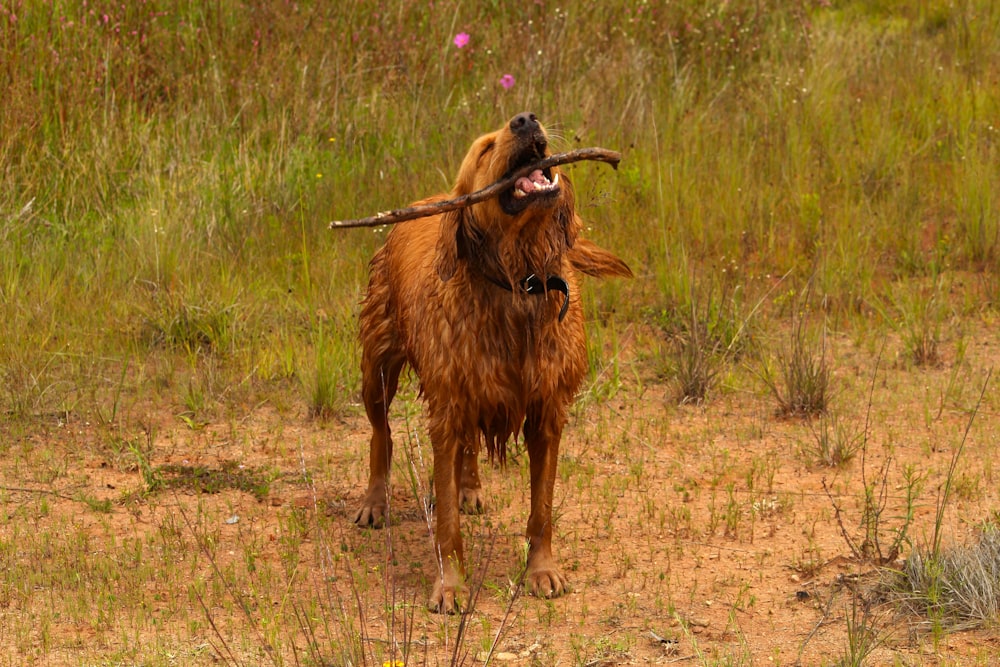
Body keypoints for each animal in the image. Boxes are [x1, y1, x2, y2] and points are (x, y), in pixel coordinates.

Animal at [356, 112, 628, 612]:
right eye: (484, 149)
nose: (525, 118)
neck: (518, 282)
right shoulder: (446, 412)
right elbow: (447, 523)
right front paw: (450, 586)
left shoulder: (546, 413)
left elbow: (542, 510)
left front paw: (542, 571)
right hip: (378, 364)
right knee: (381, 432)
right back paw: (375, 502)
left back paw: (471, 488)